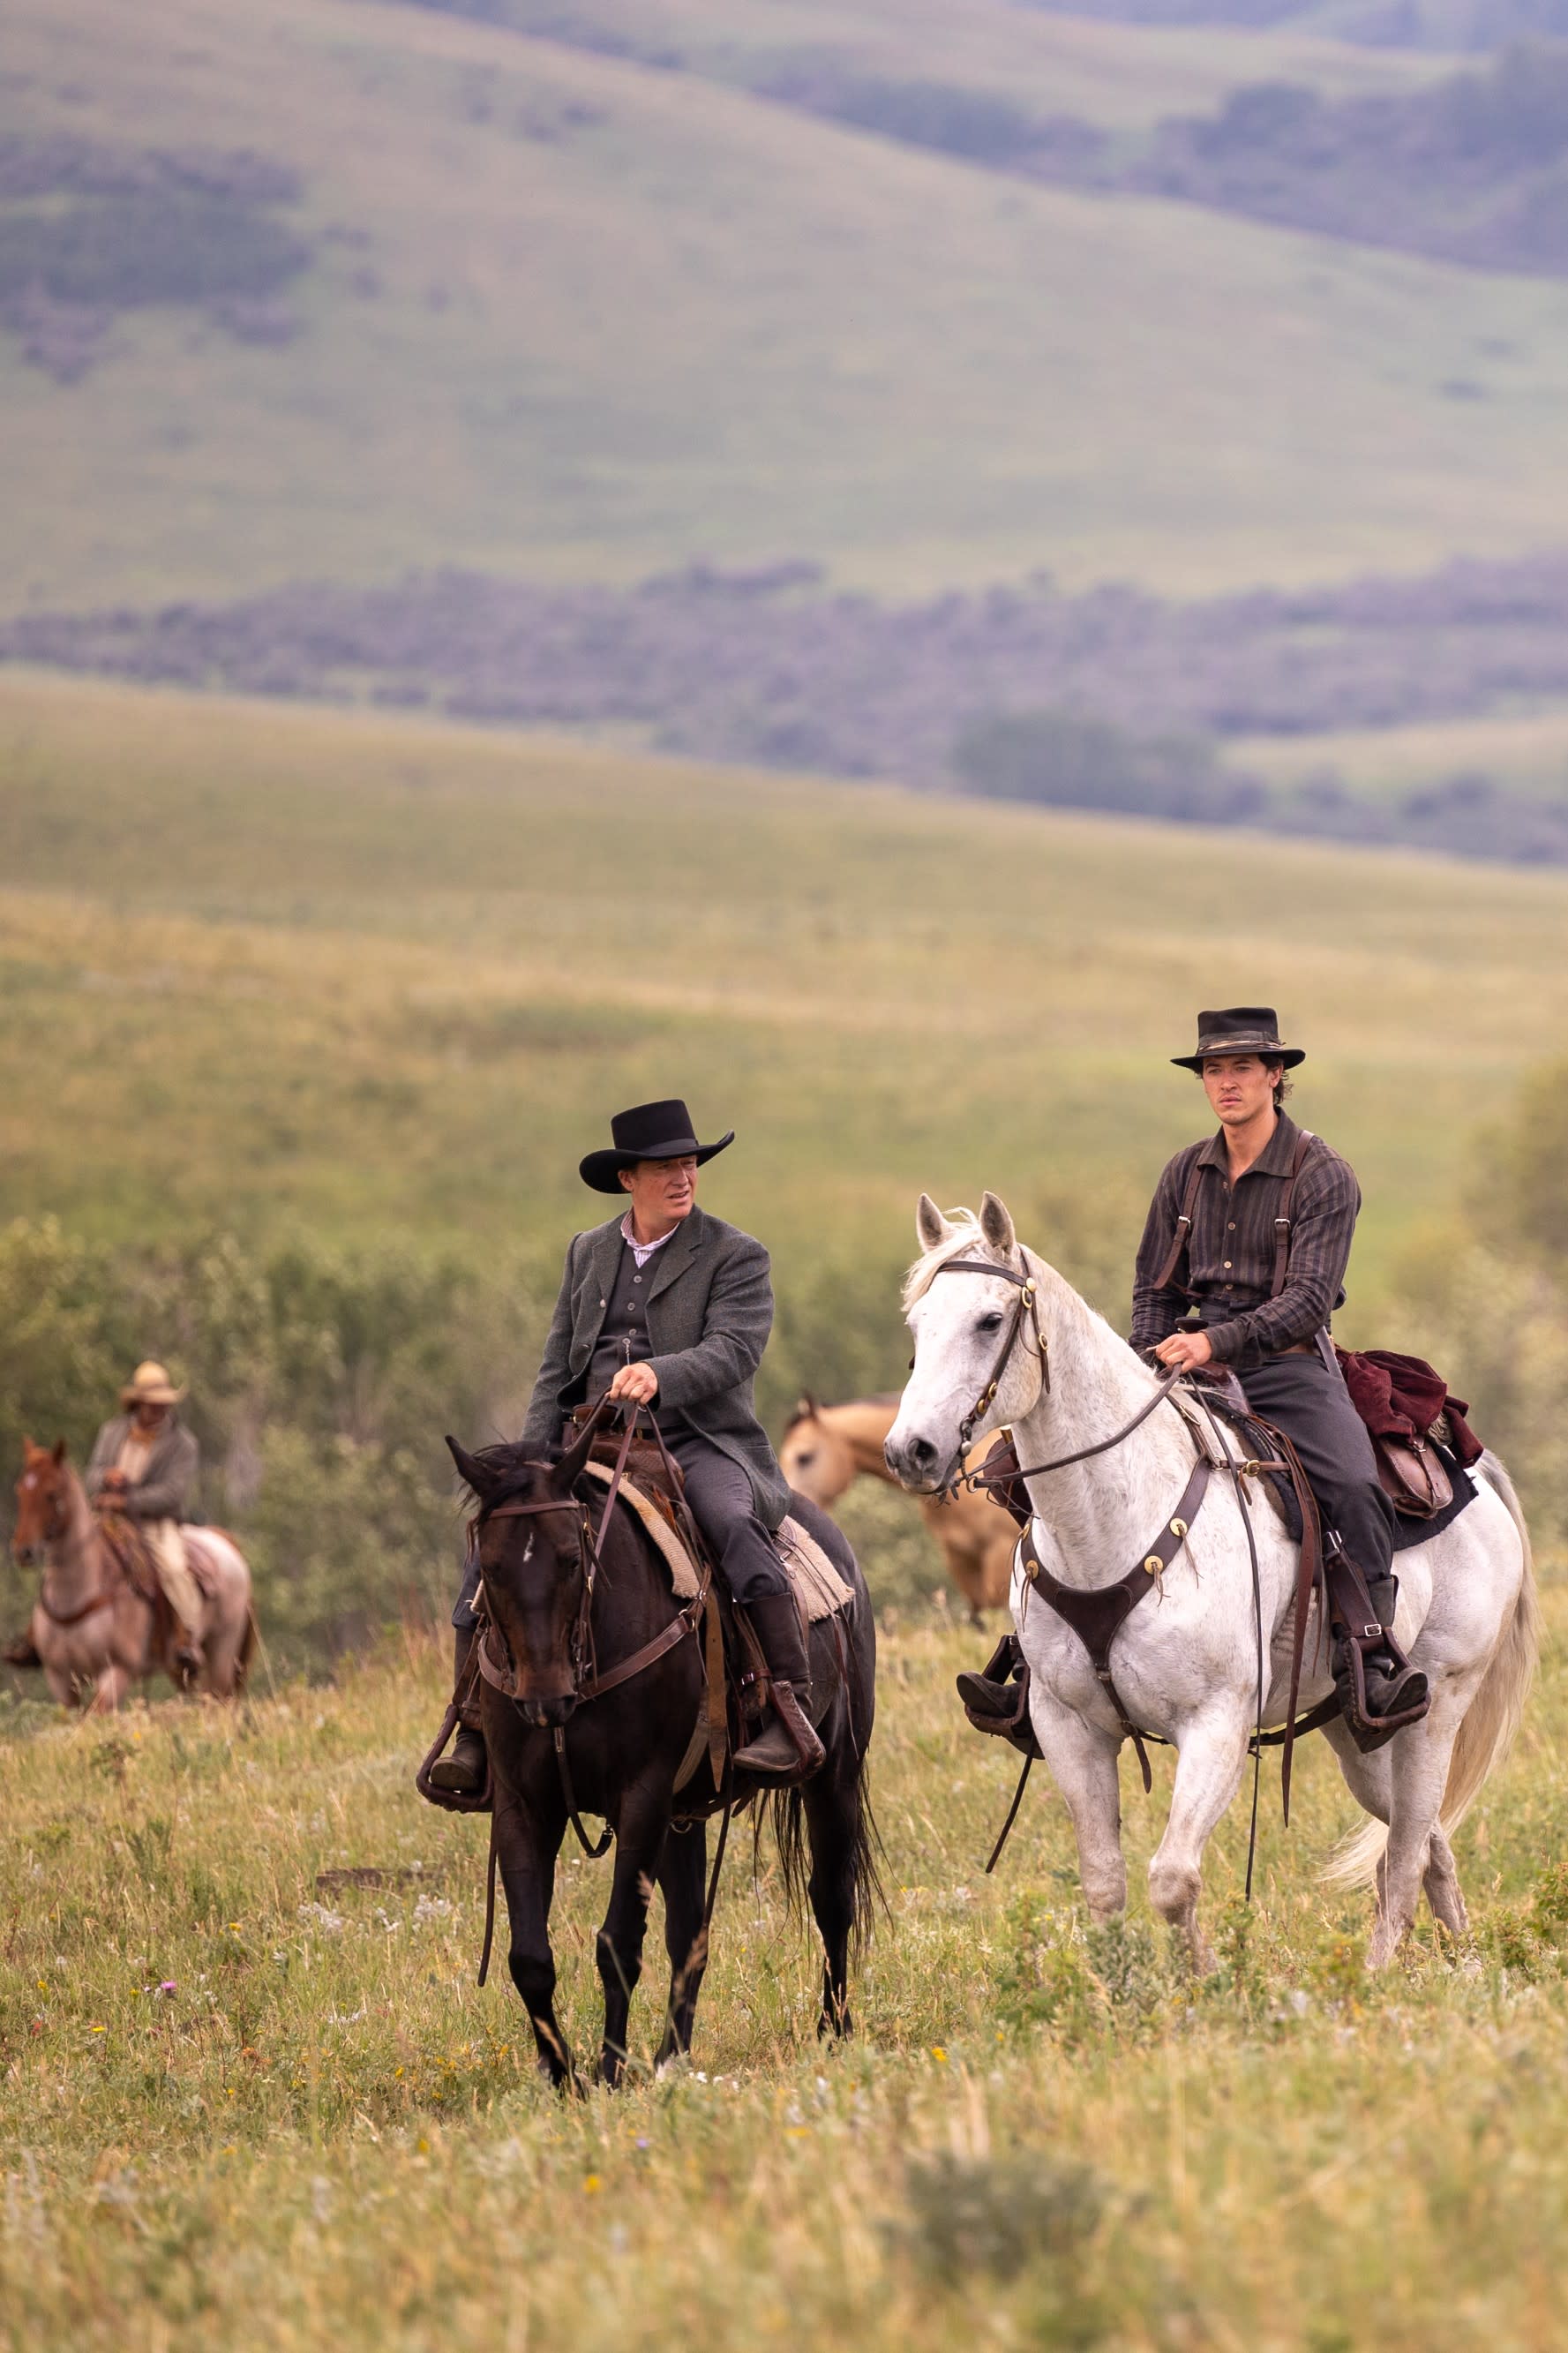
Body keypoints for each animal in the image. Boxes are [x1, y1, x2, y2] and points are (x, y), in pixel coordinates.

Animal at [11, 1430, 255, 1712]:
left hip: (221, 1657)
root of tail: (225, 1542)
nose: (24, 1551)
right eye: (20, 1491)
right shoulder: (60, 1678)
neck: (77, 1593)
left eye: (51, 1494)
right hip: (183, 1670)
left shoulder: (118, 1671)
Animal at [441, 1402, 883, 2089]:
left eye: (572, 1558)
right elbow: (530, 1955)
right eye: (488, 1568)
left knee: (831, 1899)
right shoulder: (523, 1804)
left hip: (831, 1773)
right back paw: (672, 2056)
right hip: (686, 1814)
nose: (543, 1699)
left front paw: (608, 2071)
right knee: (688, 1933)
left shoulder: (642, 1796)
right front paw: (563, 2078)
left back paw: (832, 2032)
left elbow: (619, 1942)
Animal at [889, 1195, 1542, 1966]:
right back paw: (1464, 1962)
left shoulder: (1215, 1724)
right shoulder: (1067, 1724)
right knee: (1427, 1840)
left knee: (1409, 1847)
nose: (910, 1451)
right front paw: (1116, 1987)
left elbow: (1172, 1878)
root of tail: (1471, 1472)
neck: (1113, 1523)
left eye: (989, 1320)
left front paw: (1203, 1979)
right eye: (916, 1324)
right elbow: (1103, 1883)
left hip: (1435, 1707)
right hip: (1355, 1730)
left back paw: (1378, 1975)